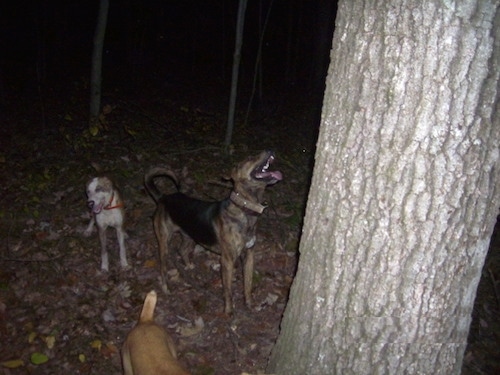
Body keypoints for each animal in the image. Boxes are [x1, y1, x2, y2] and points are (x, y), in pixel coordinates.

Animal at [144, 150, 282, 314]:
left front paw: (249, 304)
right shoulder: (227, 260)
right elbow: (228, 290)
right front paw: (228, 311)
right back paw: (166, 288)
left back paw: (189, 266)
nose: (270, 150)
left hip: (190, 235)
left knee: (181, 250)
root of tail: (163, 197)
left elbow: (247, 285)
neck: (244, 208)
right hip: (164, 241)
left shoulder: (249, 255)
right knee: (163, 267)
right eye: (250, 158)